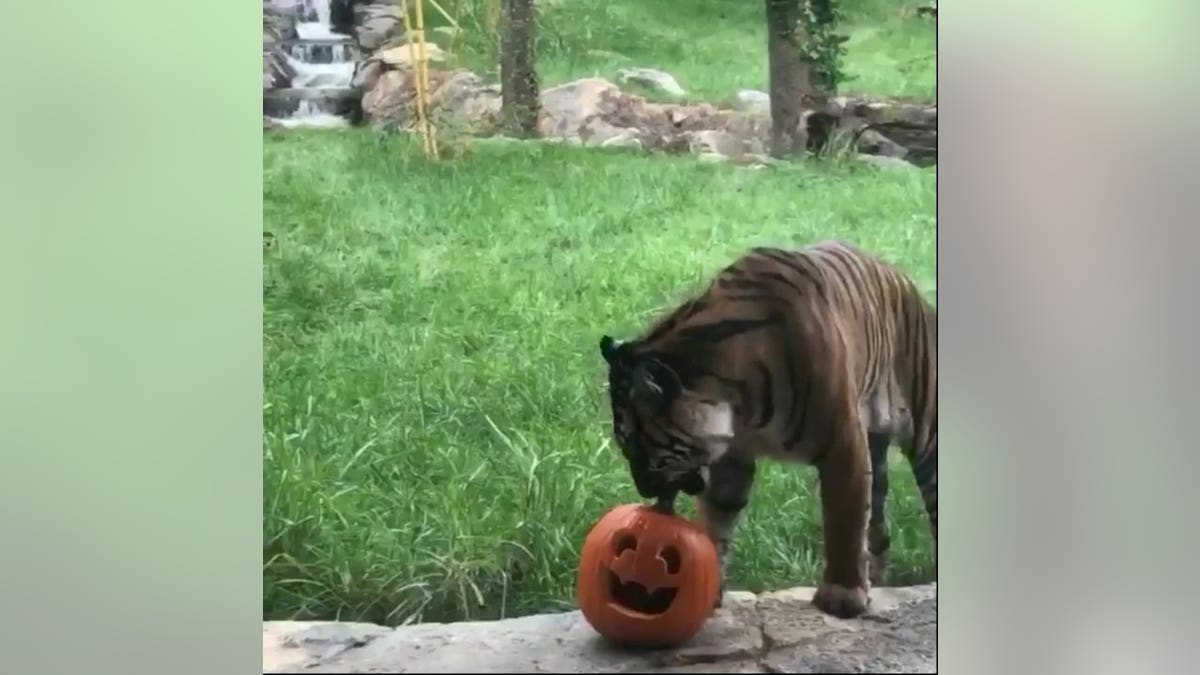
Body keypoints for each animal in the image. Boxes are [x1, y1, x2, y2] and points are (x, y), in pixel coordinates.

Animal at [600, 236, 936, 614]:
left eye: (634, 444)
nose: (643, 490)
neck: (737, 405)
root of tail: (903, 279)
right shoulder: (732, 458)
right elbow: (717, 517)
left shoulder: (842, 444)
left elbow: (844, 517)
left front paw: (843, 595)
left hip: (926, 428)